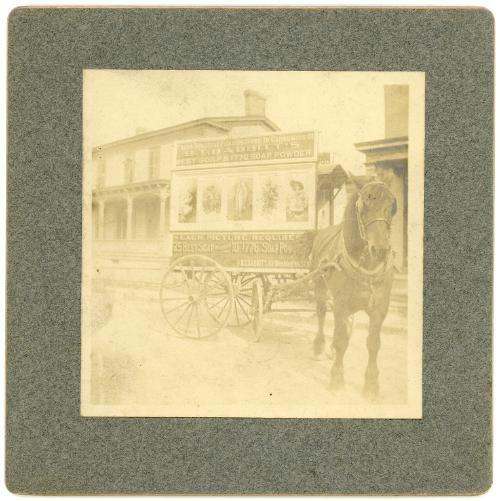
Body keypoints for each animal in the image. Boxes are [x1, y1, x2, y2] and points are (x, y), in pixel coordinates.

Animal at [308, 176, 394, 398]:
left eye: (392, 205)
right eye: (364, 205)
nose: (380, 250)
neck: (366, 266)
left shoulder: (380, 308)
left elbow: (373, 344)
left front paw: (371, 384)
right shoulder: (341, 304)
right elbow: (341, 340)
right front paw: (337, 378)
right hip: (320, 287)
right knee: (321, 313)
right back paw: (319, 346)